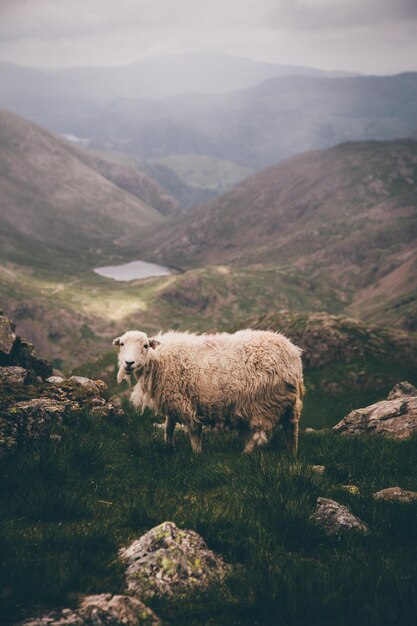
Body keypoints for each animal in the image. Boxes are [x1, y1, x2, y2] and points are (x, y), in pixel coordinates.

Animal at [112, 326, 304, 454]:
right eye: (122, 344)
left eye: (145, 345)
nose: (128, 363)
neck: (159, 359)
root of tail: (292, 354)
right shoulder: (172, 400)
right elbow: (168, 427)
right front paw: (168, 447)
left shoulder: (184, 402)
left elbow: (194, 431)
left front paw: (197, 454)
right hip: (288, 402)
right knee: (292, 428)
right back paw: (291, 454)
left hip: (263, 402)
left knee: (258, 436)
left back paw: (245, 454)